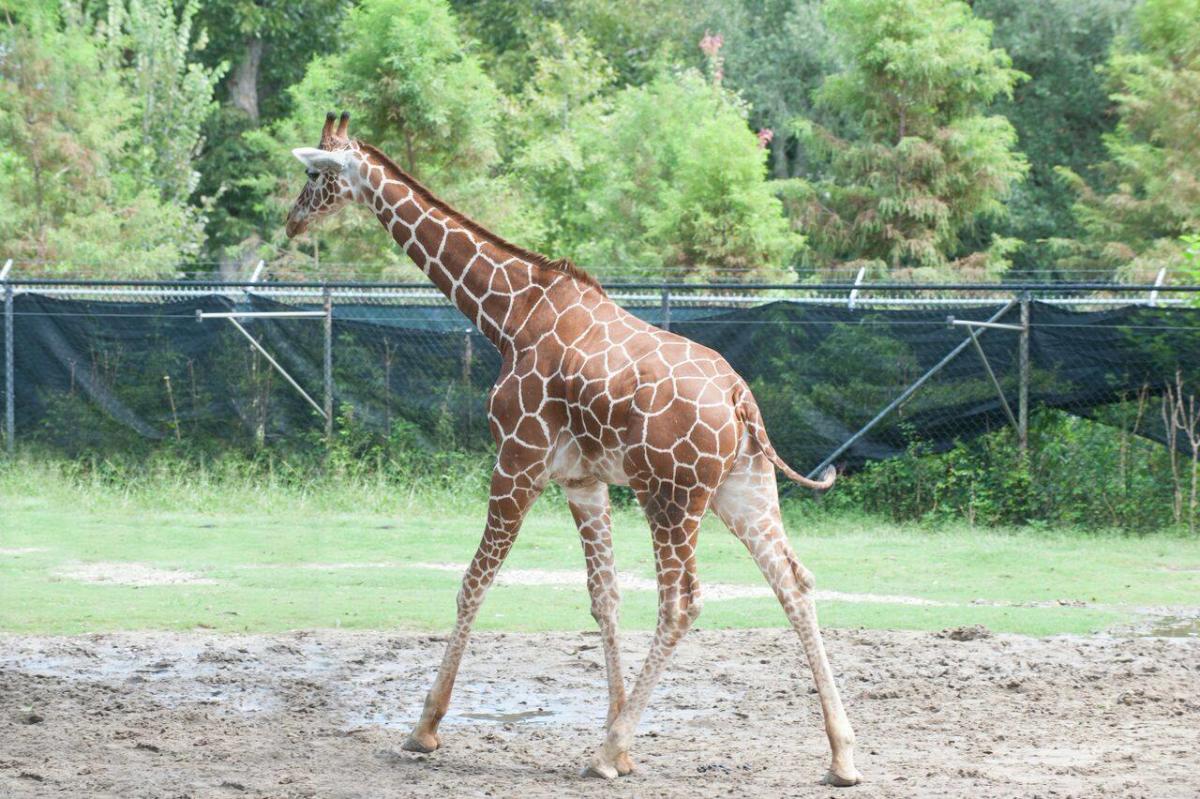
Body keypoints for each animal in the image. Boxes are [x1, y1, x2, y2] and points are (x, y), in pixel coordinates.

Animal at [285, 110, 859, 782]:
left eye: (314, 174)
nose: (292, 220)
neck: (507, 318)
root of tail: (740, 399)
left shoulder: (517, 462)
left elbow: (473, 581)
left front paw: (425, 728)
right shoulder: (582, 481)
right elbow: (603, 598)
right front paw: (623, 738)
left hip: (672, 496)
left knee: (682, 602)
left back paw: (604, 755)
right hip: (741, 488)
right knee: (794, 581)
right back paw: (842, 756)